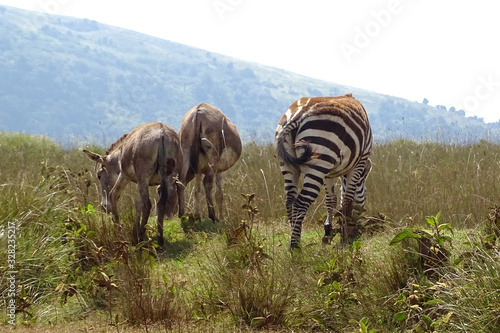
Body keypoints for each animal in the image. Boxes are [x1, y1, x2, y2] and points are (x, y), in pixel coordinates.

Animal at [276, 92, 374, 248]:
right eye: (365, 192)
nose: (358, 232)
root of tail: (300, 113)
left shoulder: (329, 173)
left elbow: (331, 200)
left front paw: (328, 232)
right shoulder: (359, 162)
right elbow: (347, 200)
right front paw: (345, 235)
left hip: (288, 165)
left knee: (290, 202)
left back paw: (294, 238)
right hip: (319, 159)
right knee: (300, 203)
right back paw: (295, 247)